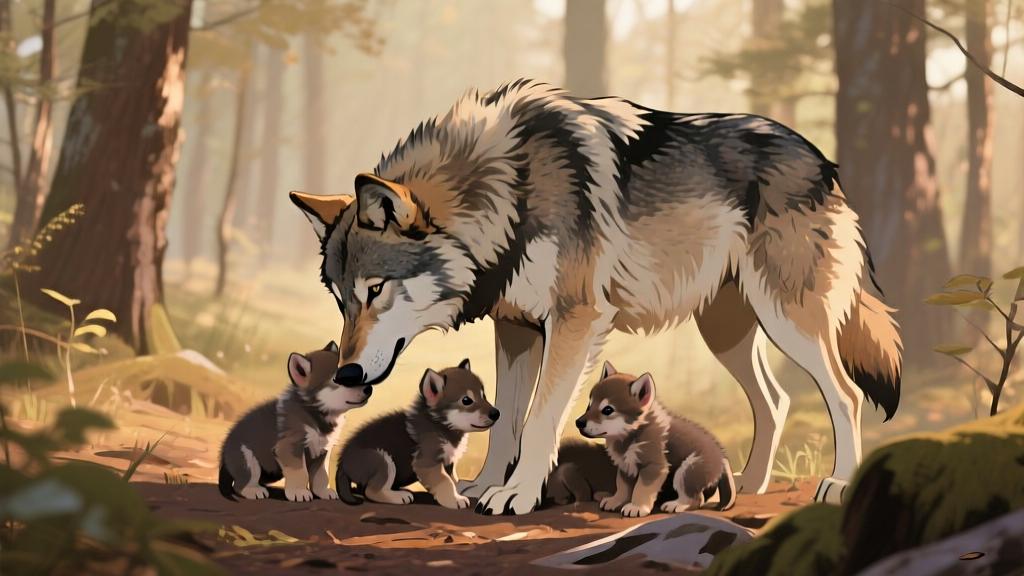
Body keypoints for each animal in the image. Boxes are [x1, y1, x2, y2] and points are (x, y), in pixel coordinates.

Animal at [289, 79, 902, 514]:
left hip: (789, 320)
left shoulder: (576, 320)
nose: (346, 374)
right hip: (728, 333)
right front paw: (483, 486)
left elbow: (540, 417)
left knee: (845, 395)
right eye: (340, 299)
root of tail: (822, 160)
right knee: (774, 400)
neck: (509, 194)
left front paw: (517, 495)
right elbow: (505, 418)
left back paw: (838, 483)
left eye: (375, 290)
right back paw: (750, 485)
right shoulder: (515, 328)